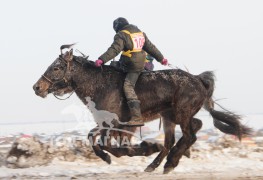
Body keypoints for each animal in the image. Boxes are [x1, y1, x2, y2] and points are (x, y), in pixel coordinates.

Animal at [33, 45, 254, 174]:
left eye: (56, 67)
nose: (37, 87)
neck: (99, 84)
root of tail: (199, 80)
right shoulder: (105, 123)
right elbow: (94, 139)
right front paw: (108, 157)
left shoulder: (116, 124)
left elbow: (112, 146)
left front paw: (146, 147)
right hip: (170, 116)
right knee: (181, 135)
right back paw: (158, 163)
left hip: (181, 113)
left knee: (190, 135)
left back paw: (171, 161)